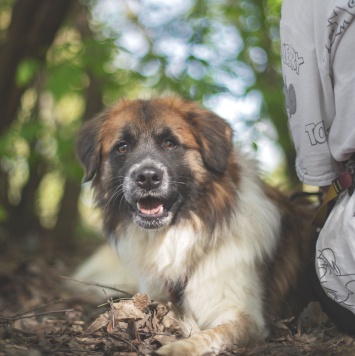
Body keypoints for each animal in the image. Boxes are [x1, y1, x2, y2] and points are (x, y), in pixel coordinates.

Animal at [76, 96, 316, 354]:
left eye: (170, 143)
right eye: (122, 147)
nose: (147, 177)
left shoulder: (246, 316)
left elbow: (210, 333)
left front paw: (176, 347)